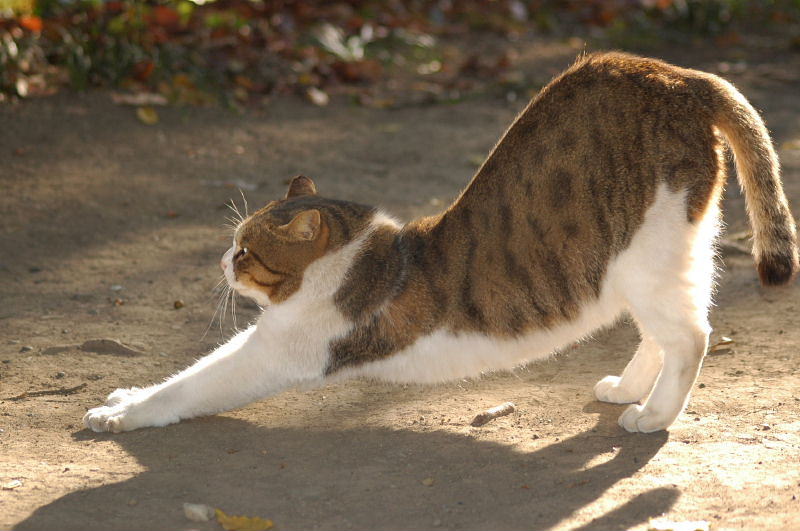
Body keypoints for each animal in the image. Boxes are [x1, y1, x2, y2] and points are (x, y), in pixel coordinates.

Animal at [84, 52, 796, 434]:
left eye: (245, 252)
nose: (220, 262)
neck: (352, 258)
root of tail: (680, 75)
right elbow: (185, 372)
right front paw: (124, 397)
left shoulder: (280, 351)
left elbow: (192, 385)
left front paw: (122, 415)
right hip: (666, 252)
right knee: (671, 326)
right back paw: (629, 389)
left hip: (649, 255)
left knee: (692, 336)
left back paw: (652, 416)